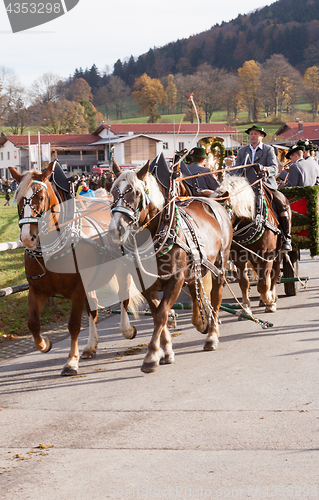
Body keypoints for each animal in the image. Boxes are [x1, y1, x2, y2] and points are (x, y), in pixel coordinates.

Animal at [9, 160, 141, 376]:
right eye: (19, 198)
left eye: (40, 197)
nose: (28, 238)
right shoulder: (37, 290)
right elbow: (33, 324)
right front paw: (44, 344)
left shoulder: (78, 289)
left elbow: (73, 325)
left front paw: (71, 361)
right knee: (93, 309)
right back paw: (90, 346)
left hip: (121, 270)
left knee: (123, 298)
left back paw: (127, 329)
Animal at [109, 160, 234, 372]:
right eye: (112, 191)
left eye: (136, 192)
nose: (116, 229)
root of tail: (214, 201)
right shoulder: (147, 285)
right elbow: (159, 314)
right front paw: (166, 351)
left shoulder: (176, 280)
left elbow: (161, 314)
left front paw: (151, 356)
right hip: (196, 267)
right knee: (195, 291)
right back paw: (202, 322)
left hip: (220, 265)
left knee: (216, 298)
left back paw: (212, 335)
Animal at [215, 175, 284, 312]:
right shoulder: (239, 256)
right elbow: (244, 282)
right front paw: (246, 307)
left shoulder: (268, 255)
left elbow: (264, 283)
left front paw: (270, 300)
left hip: (278, 253)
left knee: (274, 273)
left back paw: (271, 297)